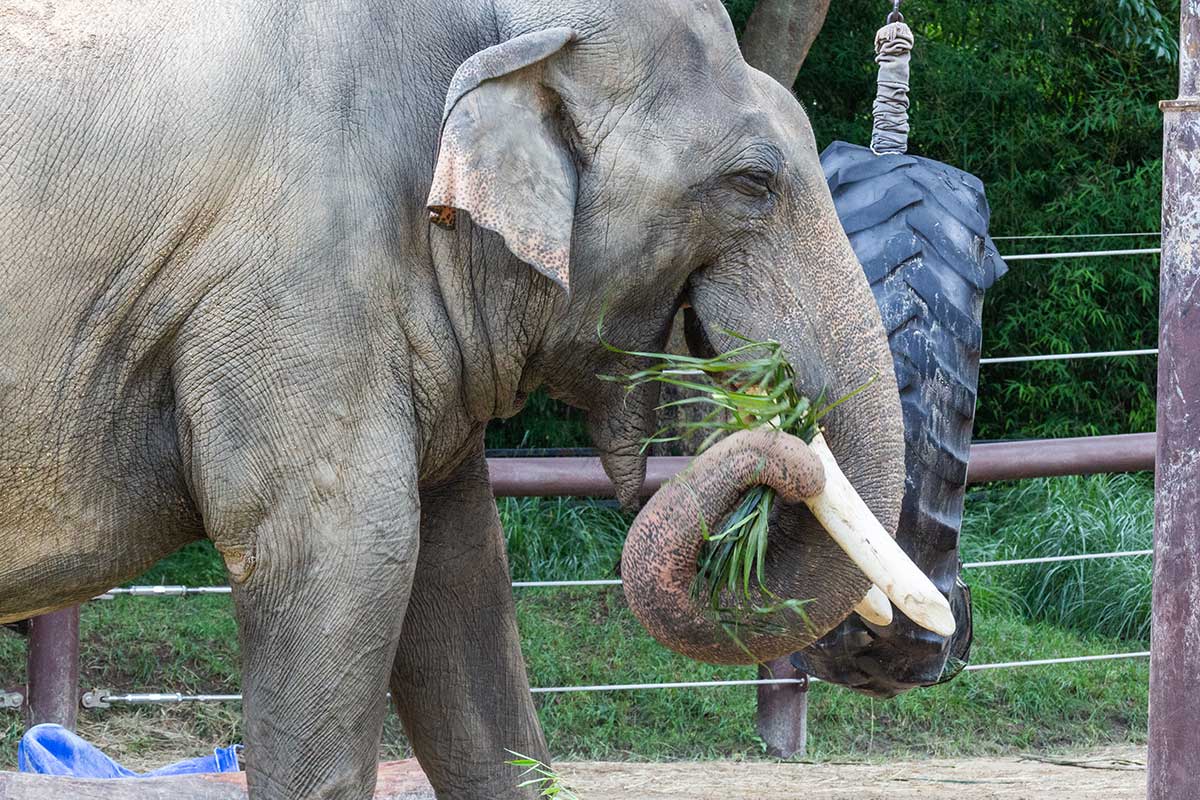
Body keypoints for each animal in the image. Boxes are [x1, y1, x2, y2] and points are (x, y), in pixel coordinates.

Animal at [0, 0, 916, 796]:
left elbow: (461, 573)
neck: (496, 25)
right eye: (753, 182)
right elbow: (347, 551)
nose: (785, 431)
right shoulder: (297, 282)